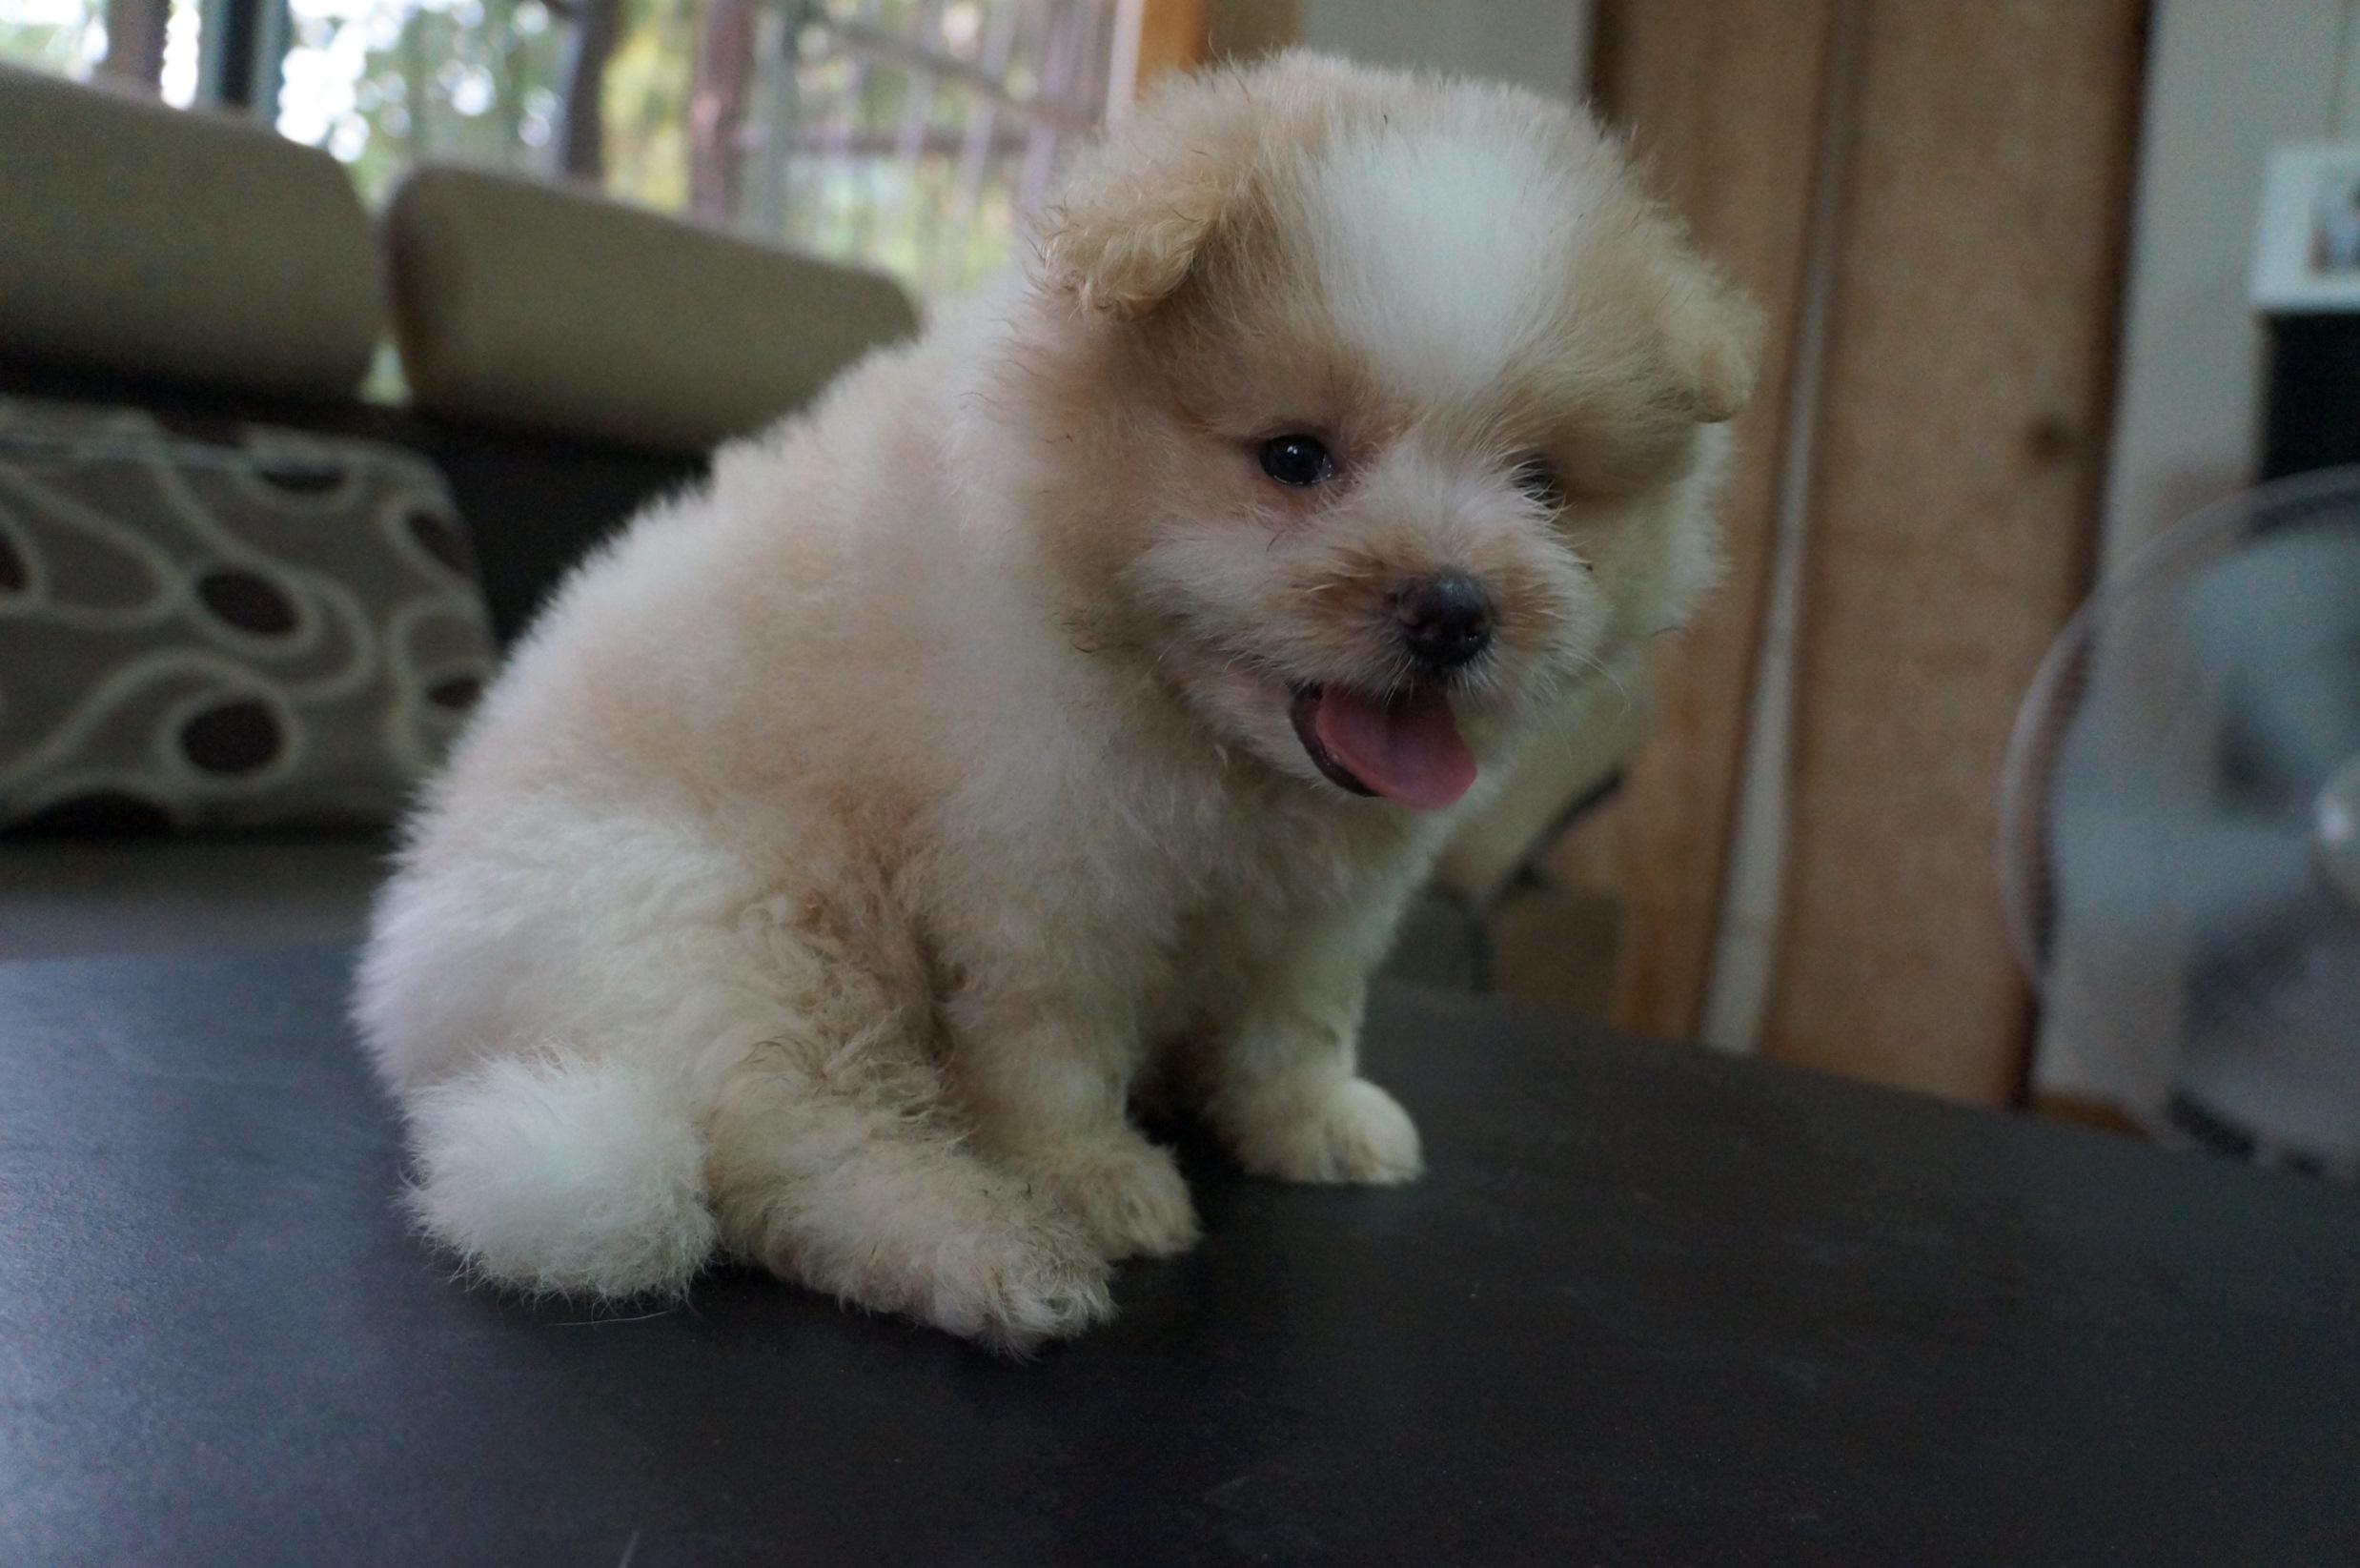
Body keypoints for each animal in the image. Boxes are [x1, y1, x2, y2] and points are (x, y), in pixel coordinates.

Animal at [354, 51, 1758, 1351]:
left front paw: (1307, 1123)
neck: (1210, 739)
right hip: (728, 932)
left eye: (1543, 485)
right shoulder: (1044, 870)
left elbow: (1296, 1016)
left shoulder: (1324, 897)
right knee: (802, 1156)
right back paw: (1002, 1254)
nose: (1455, 605)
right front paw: (1091, 1177)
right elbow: (1052, 1049)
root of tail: (423, 1007)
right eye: (1293, 458)